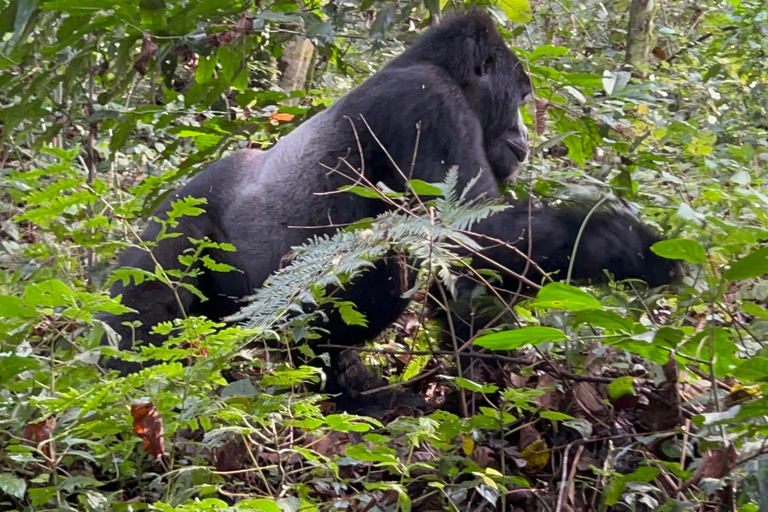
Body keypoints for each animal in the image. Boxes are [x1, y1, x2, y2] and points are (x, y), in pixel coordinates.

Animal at [103, 11, 680, 408]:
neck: (431, 63)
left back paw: (351, 393)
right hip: (171, 232)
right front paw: (625, 242)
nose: (525, 138)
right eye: (519, 97)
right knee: (144, 321)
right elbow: (468, 237)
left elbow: (466, 272)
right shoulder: (427, 100)